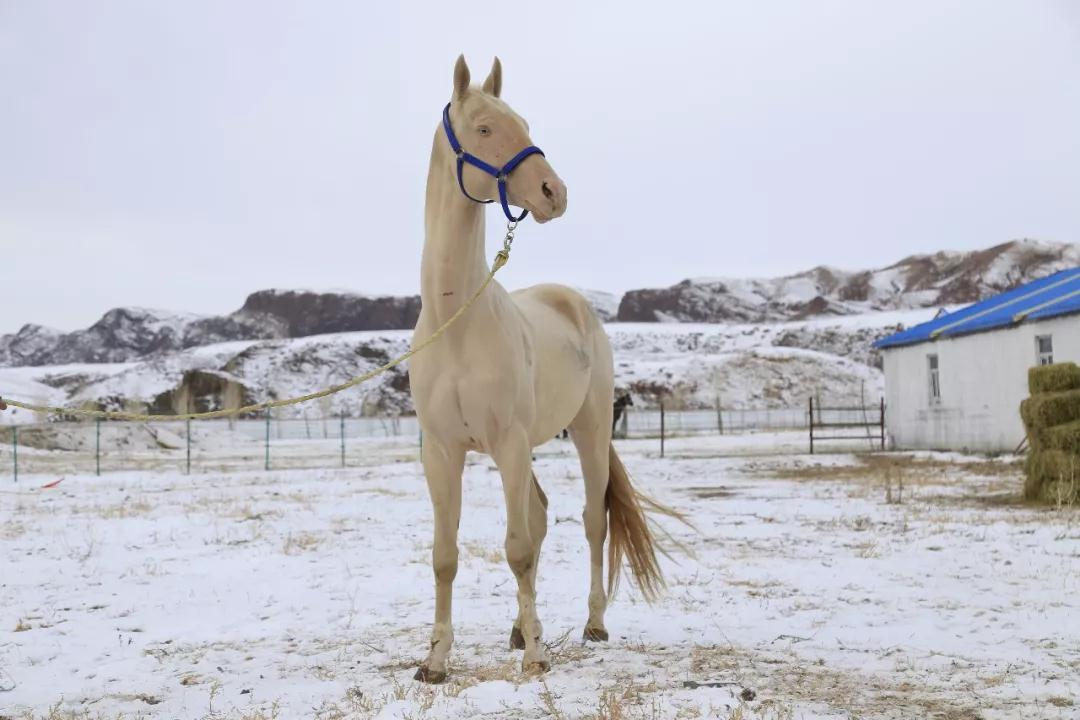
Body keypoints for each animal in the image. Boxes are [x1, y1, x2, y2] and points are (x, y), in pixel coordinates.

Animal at [410, 55, 673, 682]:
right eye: (485, 128)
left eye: (524, 123)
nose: (555, 192)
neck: (457, 322)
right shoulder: (442, 451)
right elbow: (446, 555)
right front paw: (436, 660)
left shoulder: (507, 442)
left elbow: (517, 547)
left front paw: (535, 657)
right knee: (542, 515)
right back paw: (517, 627)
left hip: (589, 431)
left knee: (592, 520)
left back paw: (592, 623)